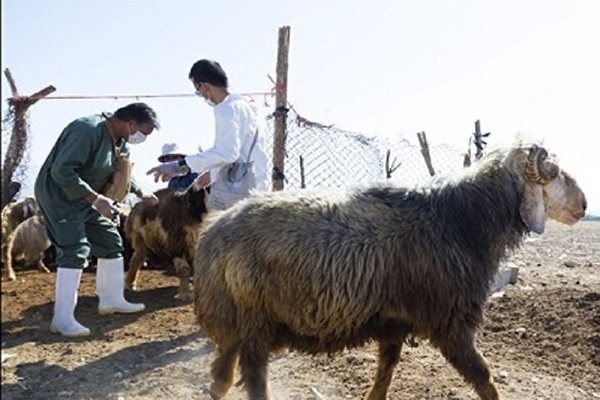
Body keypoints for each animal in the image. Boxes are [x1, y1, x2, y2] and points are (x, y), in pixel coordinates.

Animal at [191, 144, 584, 400]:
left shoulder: (394, 321)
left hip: (235, 318)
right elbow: (483, 377)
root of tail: (214, 232)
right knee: (253, 376)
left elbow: (386, 372)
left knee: (222, 367)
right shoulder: (450, 321)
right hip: (255, 320)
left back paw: (216, 388)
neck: (462, 219)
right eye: (556, 173)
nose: (584, 204)